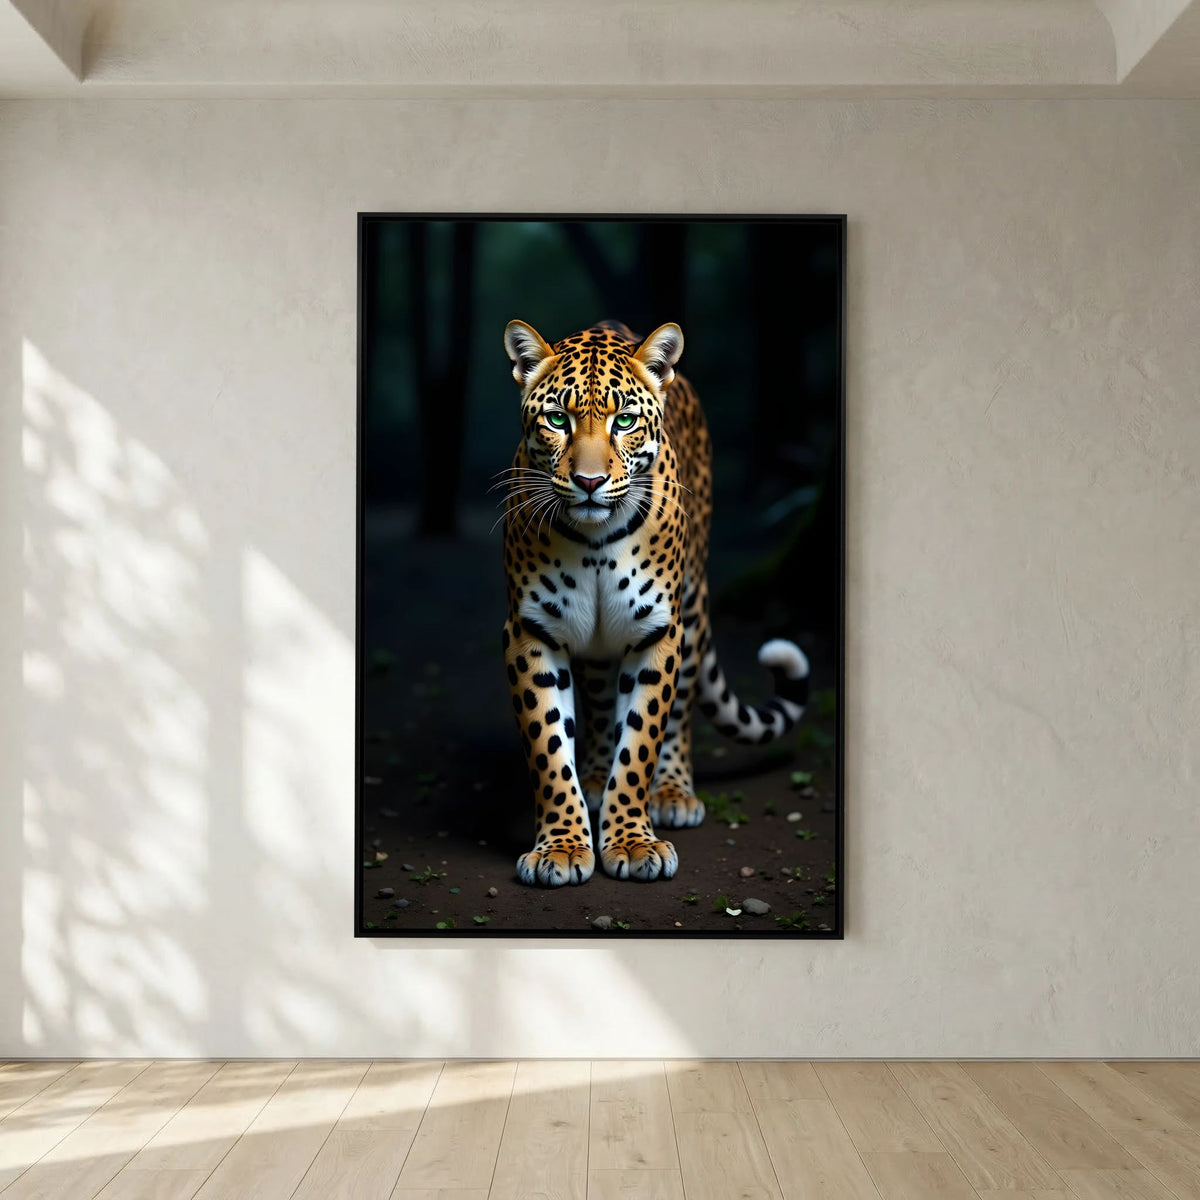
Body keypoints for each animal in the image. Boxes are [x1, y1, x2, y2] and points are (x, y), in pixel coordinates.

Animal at [499, 318, 810, 887]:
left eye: (624, 421)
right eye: (557, 419)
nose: (590, 482)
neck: (595, 542)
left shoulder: (657, 633)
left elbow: (641, 740)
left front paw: (632, 842)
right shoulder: (531, 632)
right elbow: (549, 747)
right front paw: (562, 846)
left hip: (692, 609)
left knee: (680, 709)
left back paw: (671, 793)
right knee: (600, 704)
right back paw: (594, 778)